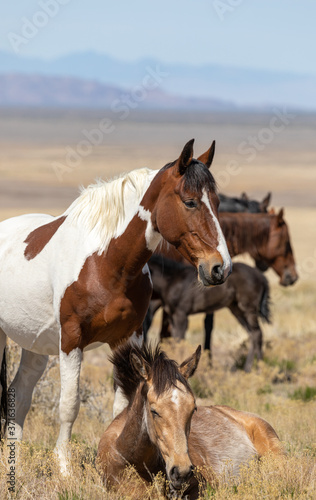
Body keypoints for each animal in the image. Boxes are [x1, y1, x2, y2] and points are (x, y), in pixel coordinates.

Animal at [0, 139, 232, 470]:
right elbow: (69, 405)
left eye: (217, 202)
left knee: (19, 394)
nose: (220, 268)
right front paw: (64, 468)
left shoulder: (127, 340)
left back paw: (14, 458)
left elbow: (123, 403)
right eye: (190, 202)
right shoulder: (71, 341)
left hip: (34, 344)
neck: (107, 262)